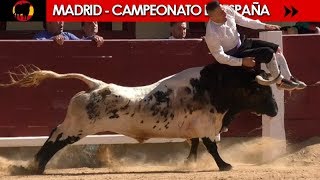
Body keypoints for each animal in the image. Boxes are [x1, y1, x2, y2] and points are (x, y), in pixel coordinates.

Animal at [0, 63, 278, 174]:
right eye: (261, 90)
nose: (275, 111)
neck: (213, 88)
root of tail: (96, 85)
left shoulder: (195, 128)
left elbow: (195, 145)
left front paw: (188, 164)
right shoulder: (207, 126)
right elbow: (211, 146)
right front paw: (225, 166)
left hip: (74, 125)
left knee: (52, 134)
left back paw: (32, 165)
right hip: (77, 127)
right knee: (56, 139)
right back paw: (36, 167)